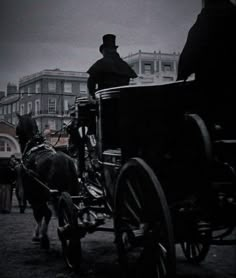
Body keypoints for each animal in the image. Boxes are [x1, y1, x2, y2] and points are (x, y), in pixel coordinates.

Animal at [15, 112, 79, 249]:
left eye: (17, 127)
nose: (17, 137)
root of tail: (66, 161)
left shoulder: (34, 194)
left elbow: (40, 214)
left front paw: (39, 236)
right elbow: (43, 213)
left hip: (52, 194)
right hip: (71, 192)